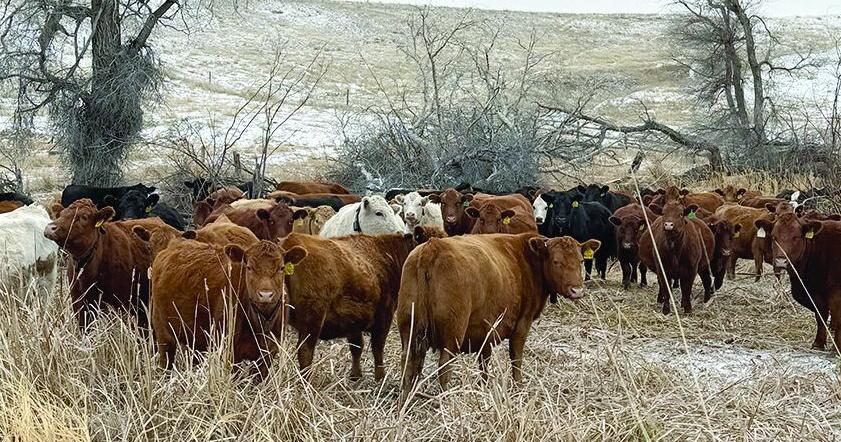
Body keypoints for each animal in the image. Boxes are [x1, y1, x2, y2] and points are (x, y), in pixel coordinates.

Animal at [151, 238, 307, 375]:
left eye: (281, 268)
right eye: (249, 267)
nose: (265, 294)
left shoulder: (268, 355)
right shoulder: (228, 350)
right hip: (162, 332)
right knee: (166, 360)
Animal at [279, 232, 431, 380]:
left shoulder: (353, 321)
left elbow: (357, 346)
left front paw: (355, 374)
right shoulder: (384, 314)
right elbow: (377, 347)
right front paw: (380, 376)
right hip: (312, 319)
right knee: (305, 350)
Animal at [397, 233, 599, 403]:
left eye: (581, 260)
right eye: (556, 261)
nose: (577, 290)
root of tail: (432, 247)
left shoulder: (485, 328)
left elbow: (484, 361)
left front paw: (485, 386)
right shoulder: (522, 324)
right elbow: (516, 358)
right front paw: (518, 387)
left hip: (409, 329)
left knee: (408, 364)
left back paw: (404, 401)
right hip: (452, 334)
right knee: (444, 367)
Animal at [755, 212, 841, 351]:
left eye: (796, 237)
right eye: (773, 237)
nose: (781, 261)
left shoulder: (836, 294)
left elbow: (837, 320)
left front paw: (837, 347)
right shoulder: (815, 297)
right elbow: (820, 316)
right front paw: (818, 343)